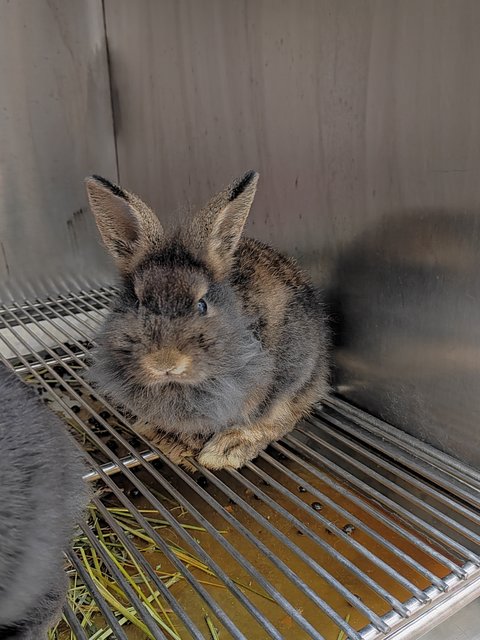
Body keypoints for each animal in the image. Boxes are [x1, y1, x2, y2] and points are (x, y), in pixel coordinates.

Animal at [85, 170, 330, 470]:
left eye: (202, 305)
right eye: (139, 302)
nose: (165, 361)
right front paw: (168, 439)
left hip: (296, 375)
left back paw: (226, 449)